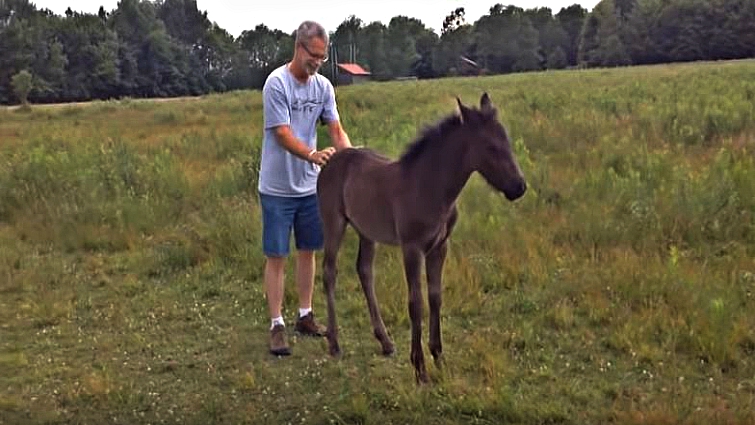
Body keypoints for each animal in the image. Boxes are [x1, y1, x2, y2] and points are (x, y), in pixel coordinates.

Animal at [316, 93, 527, 383]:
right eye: (490, 146)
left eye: (506, 140)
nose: (519, 187)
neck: (429, 186)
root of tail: (331, 160)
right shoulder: (412, 248)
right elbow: (416, 302)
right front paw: (420, 368)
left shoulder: (440, 247)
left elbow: (435, 297)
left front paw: (438, 356)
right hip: (334, 222)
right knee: (329, 272)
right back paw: (335, 343)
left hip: (366, 231)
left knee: (365, 271)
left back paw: (385, 341)